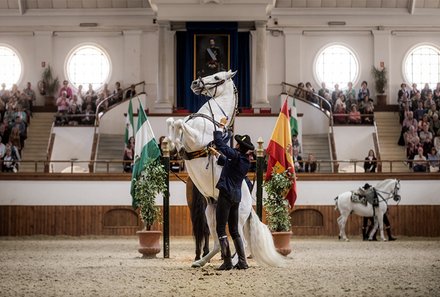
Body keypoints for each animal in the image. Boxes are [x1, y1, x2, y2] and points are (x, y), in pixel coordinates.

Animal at [167, 70, 284, 268]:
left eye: (216, 77)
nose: (195, 83)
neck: (210, 117)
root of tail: (250, 208)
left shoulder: (196, 138)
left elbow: (179, 123)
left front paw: (175, 143)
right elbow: (172, 120)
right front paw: (172, 144)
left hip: (236, 218)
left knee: (240, 240)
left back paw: (236, 263)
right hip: (211, 213)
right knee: (216, 242)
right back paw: (201, 261)